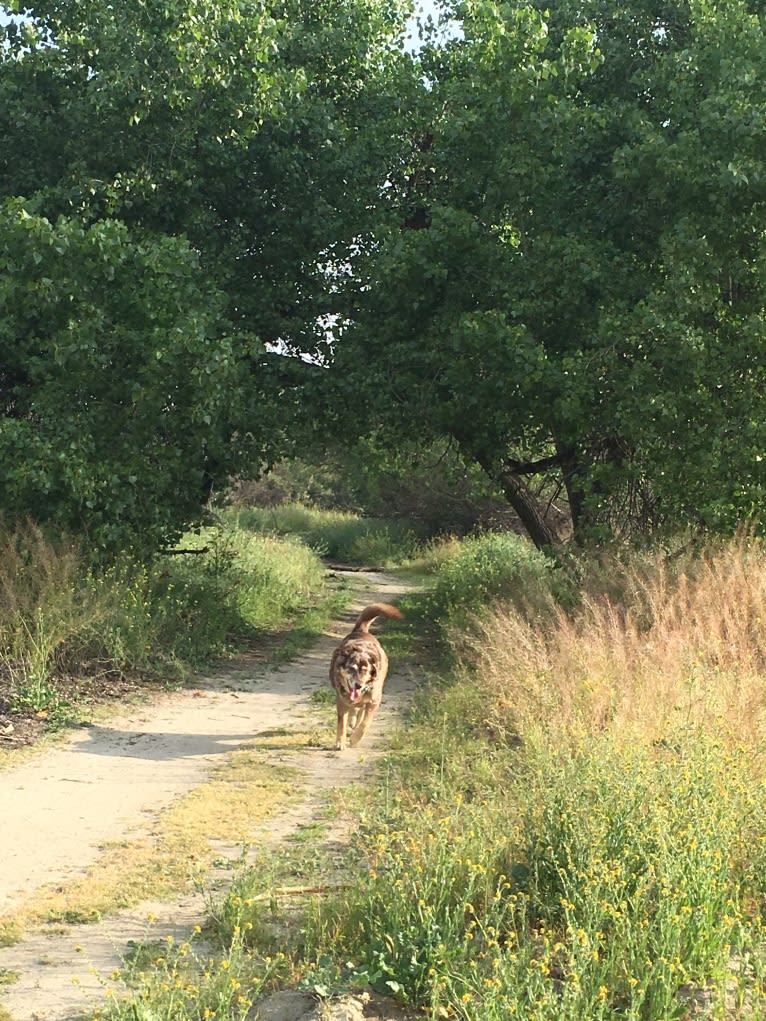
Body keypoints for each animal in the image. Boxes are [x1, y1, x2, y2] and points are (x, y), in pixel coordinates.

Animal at [326, 596, 404, 751]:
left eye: (365, 671)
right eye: (351, 668)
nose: (359, 685)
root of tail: (361, 630)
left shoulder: (374, 701)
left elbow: (365, 724)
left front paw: (354, 739)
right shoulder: (341, 700)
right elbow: (341, 723)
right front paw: (340, 742)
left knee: (361, 711)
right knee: (353, 709)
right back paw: (352, 719)